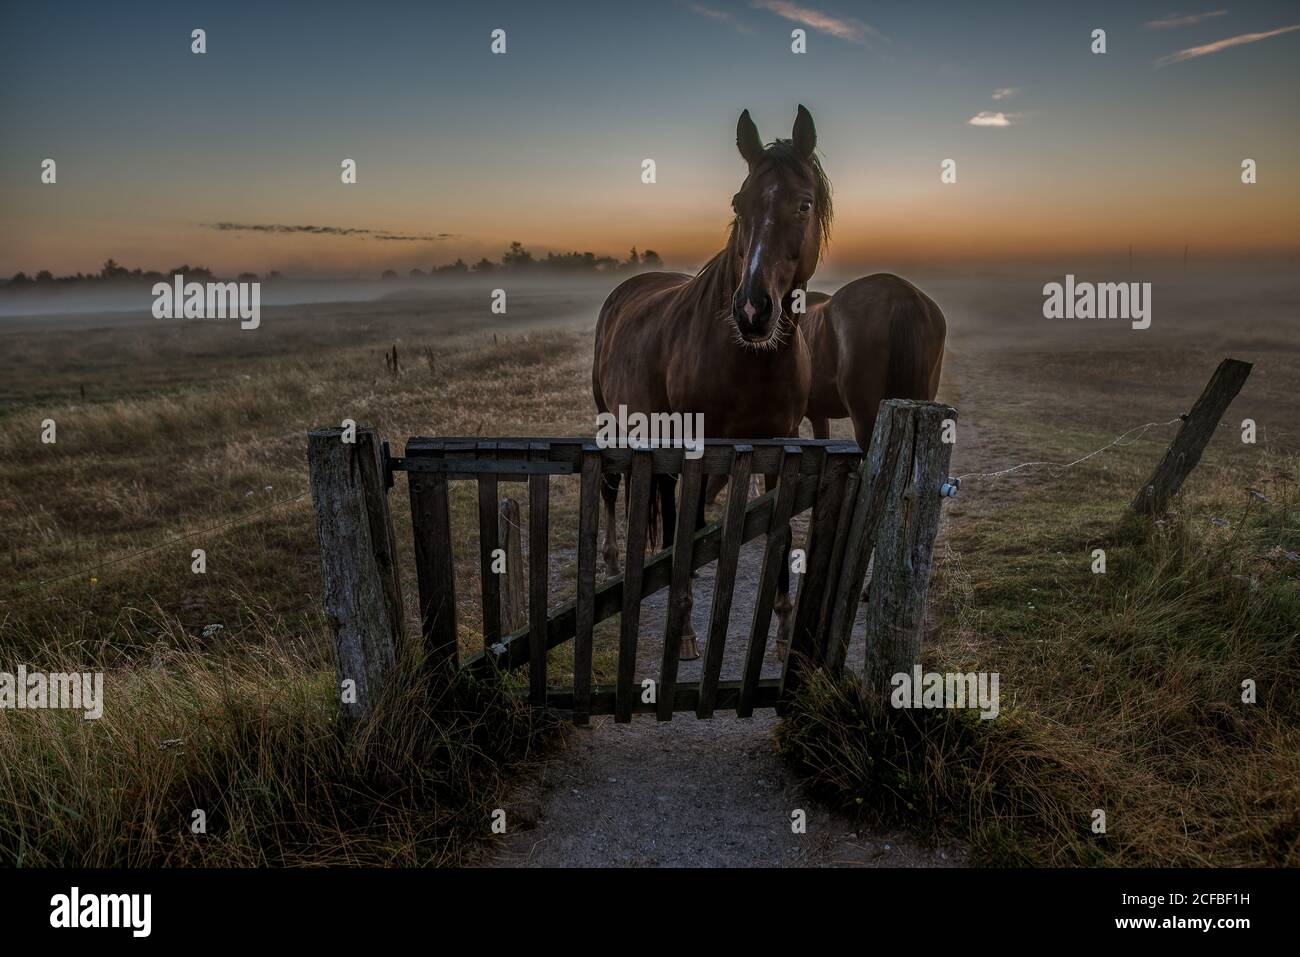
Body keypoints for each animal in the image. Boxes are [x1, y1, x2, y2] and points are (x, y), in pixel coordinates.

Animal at [592, 105, 831, 660]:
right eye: (739, 203)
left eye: (803, 204)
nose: (752, 310)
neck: (748, 361)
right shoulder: (700, 446)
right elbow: (688, 530)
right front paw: (683, 632)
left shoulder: (780, 443)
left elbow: (781, 531)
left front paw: (783, 628)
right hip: (613, 418)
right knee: (614, 486)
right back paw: (611, 561)